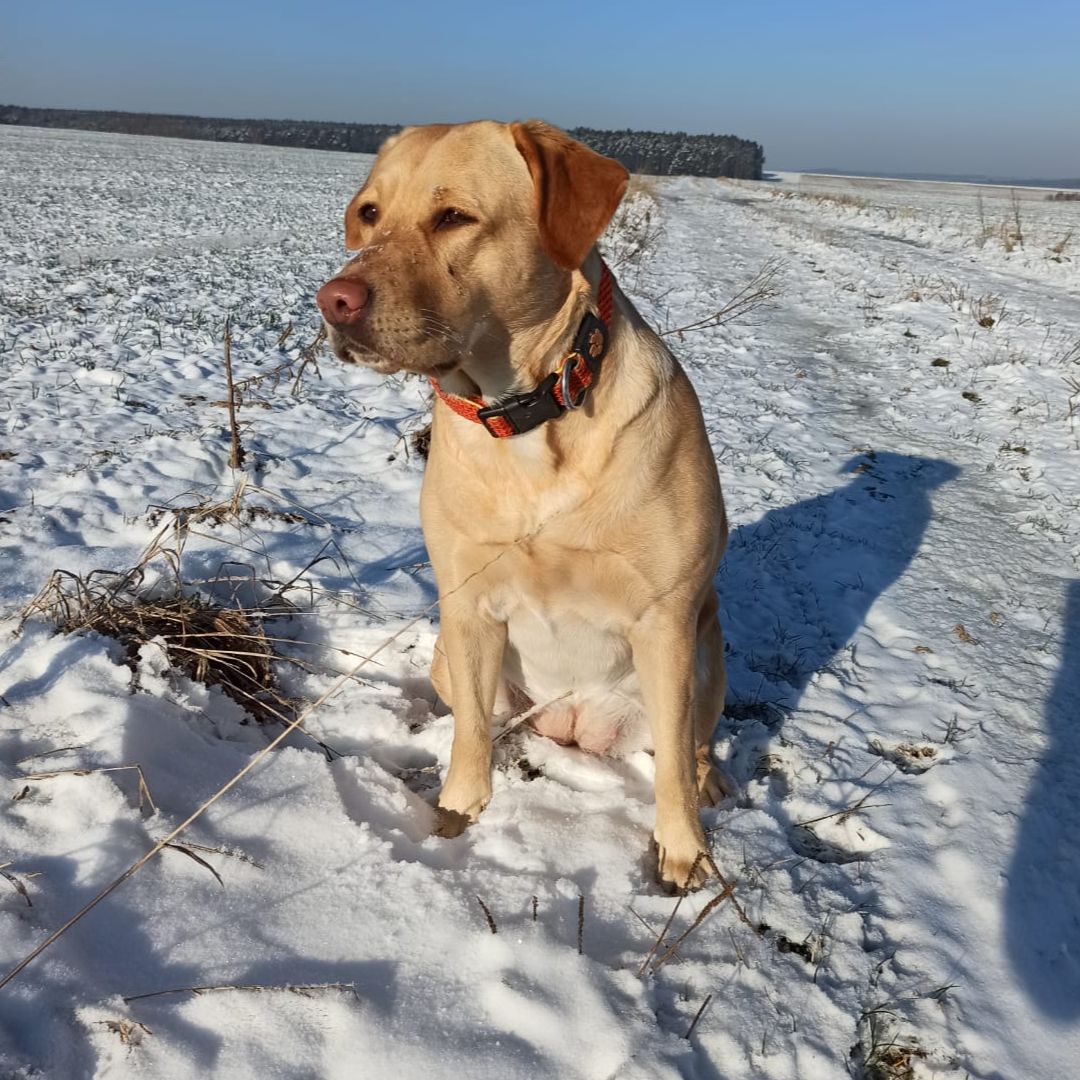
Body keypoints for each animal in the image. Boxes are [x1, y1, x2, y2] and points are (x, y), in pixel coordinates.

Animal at [315, 122, 730, 889]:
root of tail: (574, 723)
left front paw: (683, 849)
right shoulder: (468, 604)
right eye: (370, 214)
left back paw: (708, 777)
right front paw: (457, 814)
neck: (529, 416)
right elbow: (472, 737)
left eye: (454, 217)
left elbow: (672, 775)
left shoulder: (664, 620)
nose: (334, 300)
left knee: (687, 745)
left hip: (707, 653)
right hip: (447, 655)